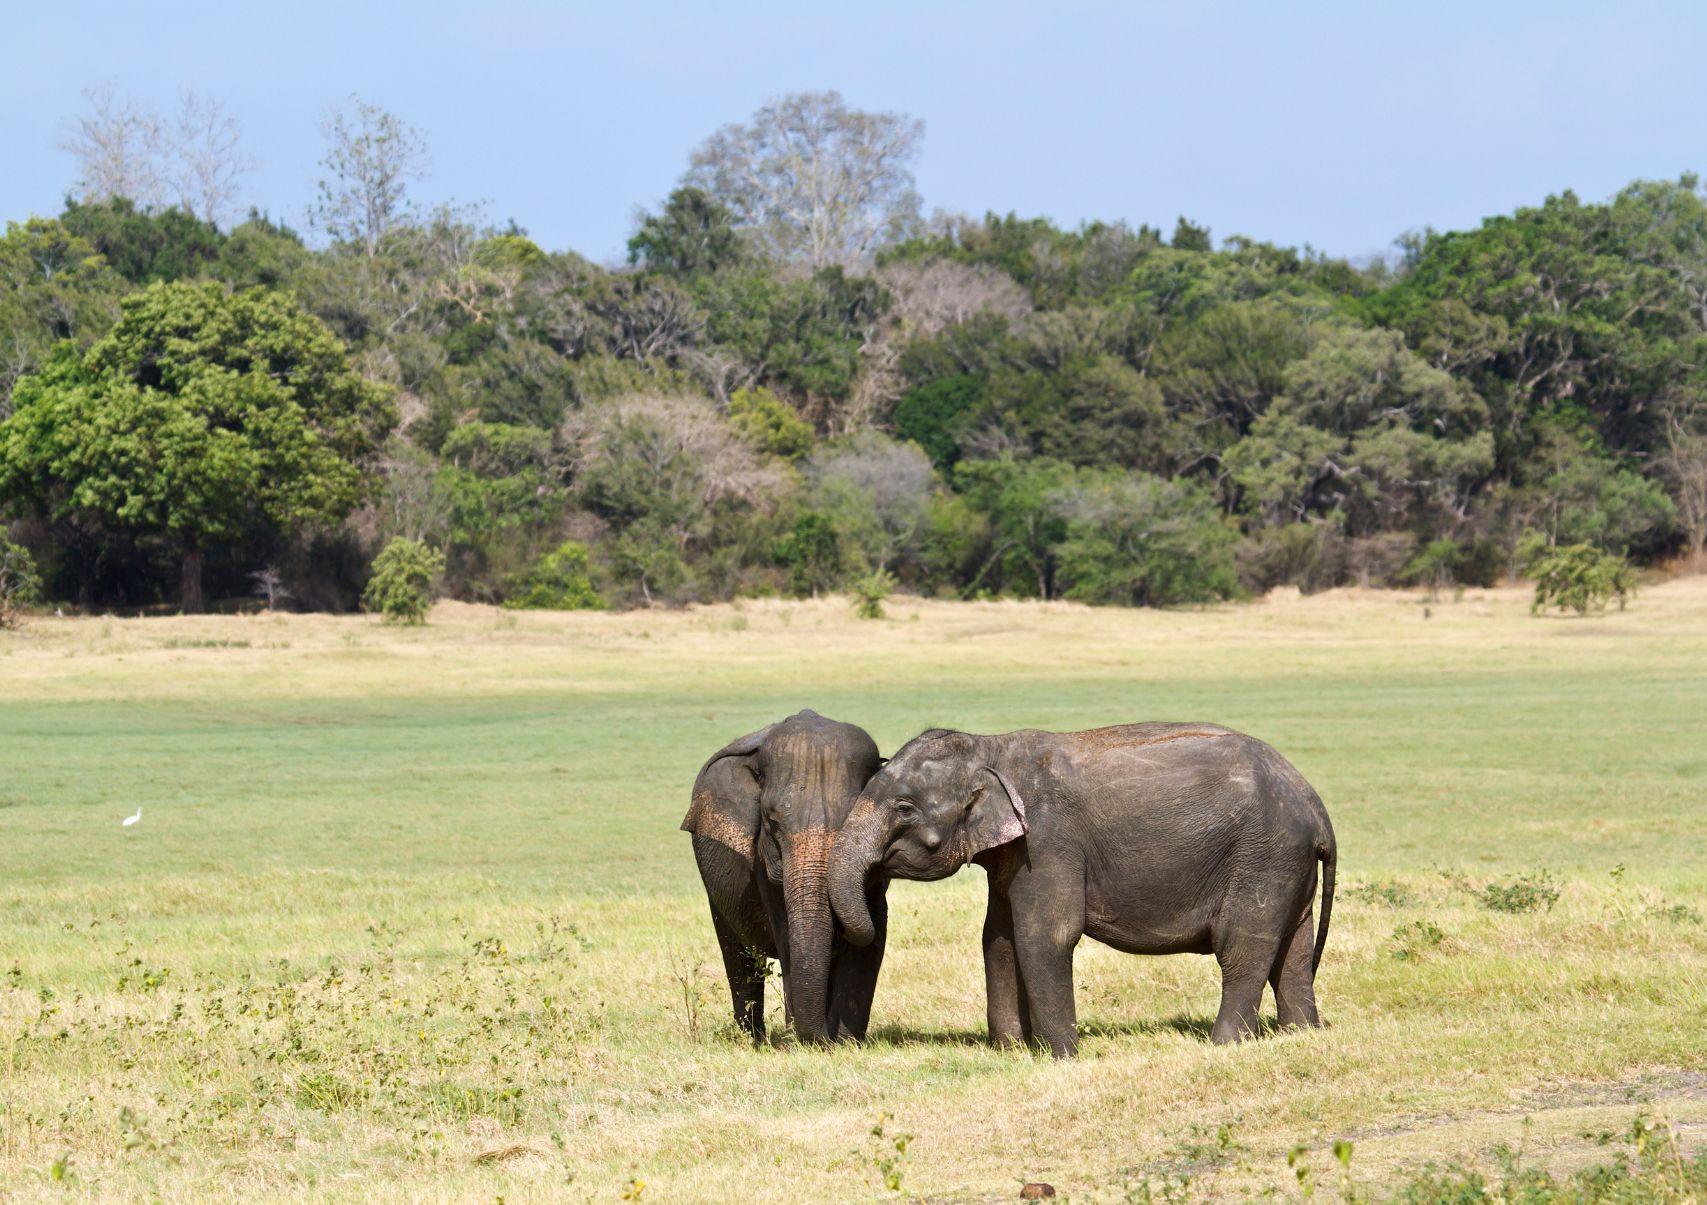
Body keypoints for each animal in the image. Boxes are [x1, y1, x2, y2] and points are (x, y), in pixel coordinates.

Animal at [682, 710, 894, 1037]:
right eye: (772, 822)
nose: (825, 1038)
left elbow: (872, 936)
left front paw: (846, 1041)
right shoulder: (762, 864)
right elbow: (786, 937)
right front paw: (808, 1040)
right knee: (736, 954)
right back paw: (753, 1039)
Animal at [826, 723, 1331, 1051]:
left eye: (904, 808)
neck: (991, 748)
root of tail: (1315, 804)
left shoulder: (1049, 842)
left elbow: (1044, 935)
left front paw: (1063, 1056)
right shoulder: (1013, 853)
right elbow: (998, 938)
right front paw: (1011, 1051)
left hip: (1263, 857)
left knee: (1242, 946)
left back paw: (1224, 1045)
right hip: (1286, 866)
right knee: (1293, 952)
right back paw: (1301, 1035)